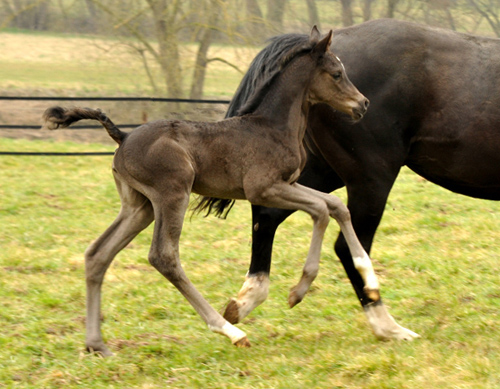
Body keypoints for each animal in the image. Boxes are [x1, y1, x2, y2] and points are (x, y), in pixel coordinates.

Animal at [216, 19, 500, 340]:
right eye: (337, 74)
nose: (362, 104)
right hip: (371, 178)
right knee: (348, 245)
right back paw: (388, 325)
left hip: (321, 172)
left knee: (271, 213)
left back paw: (247, 300)